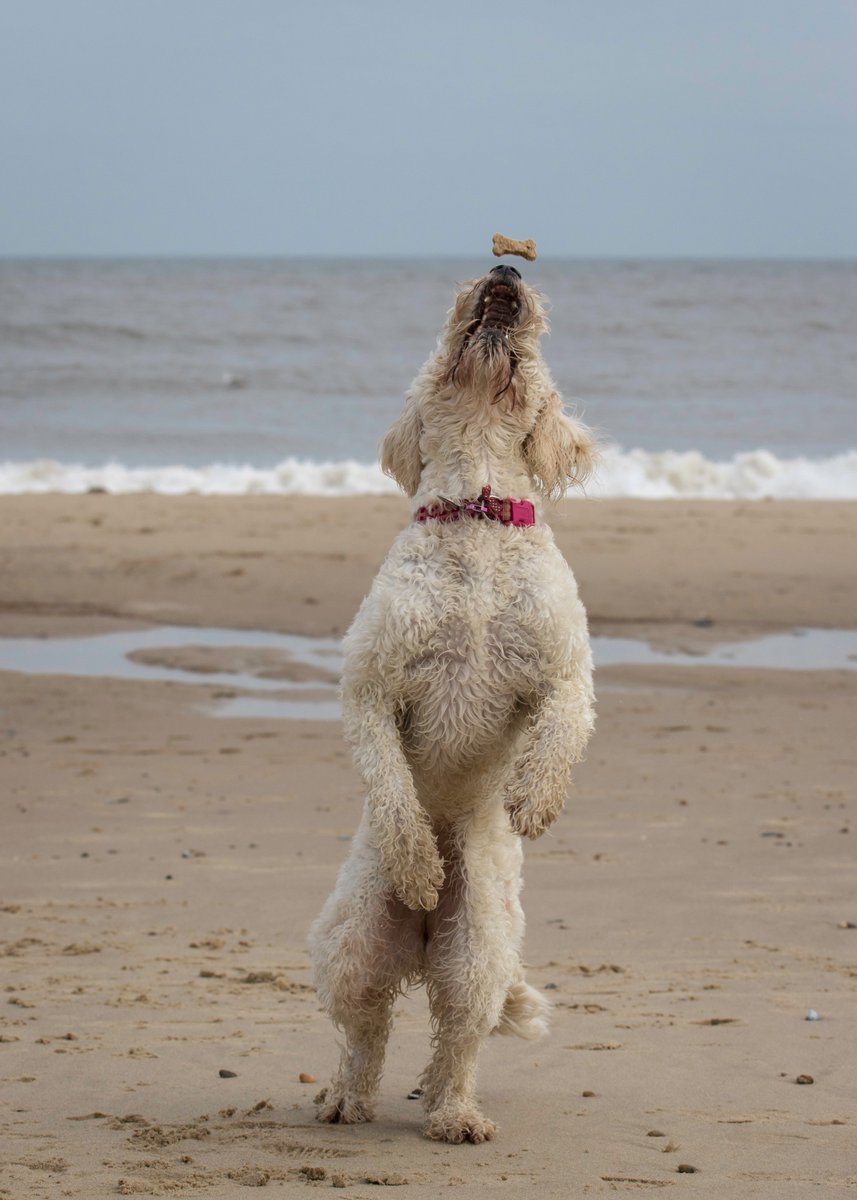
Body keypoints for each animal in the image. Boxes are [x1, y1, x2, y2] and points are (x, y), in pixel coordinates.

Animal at [309, 260, 595, 1142]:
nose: (504, 269)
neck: (474, 510)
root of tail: (424, 939)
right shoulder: (370, 687)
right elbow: (392, 786)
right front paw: (417, 863)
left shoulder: (566, 669)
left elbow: (560, 730)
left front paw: (532, 801)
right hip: (356, 940)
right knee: (364, 1031)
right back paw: (344, 1098)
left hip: (479, 946)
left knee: (457, 1034)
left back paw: (454, 1113)